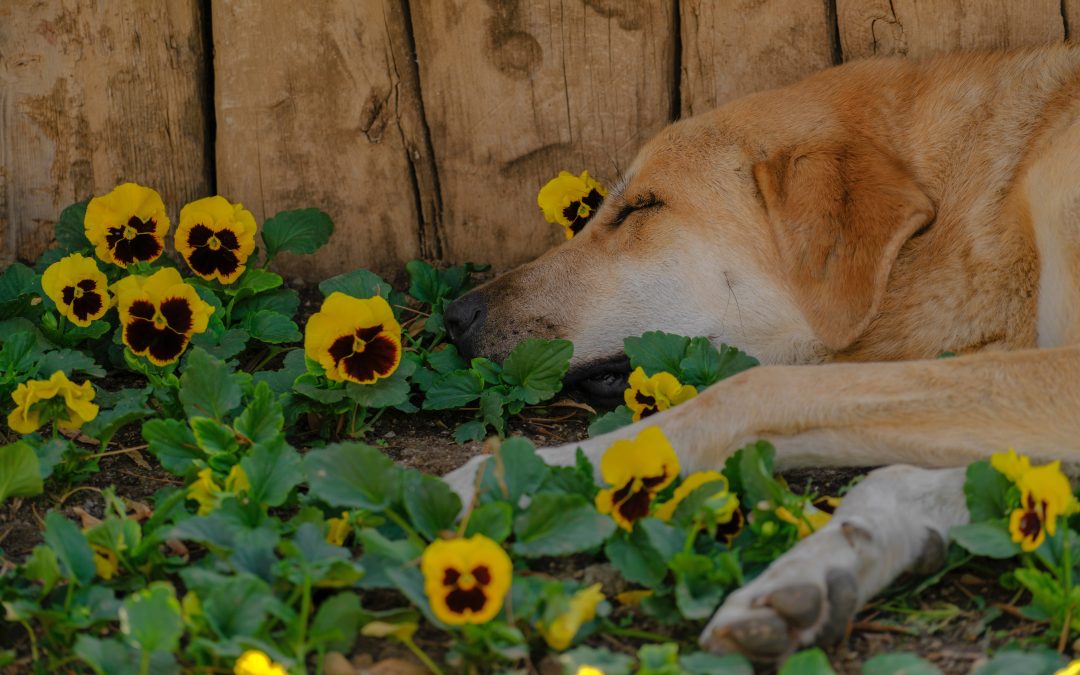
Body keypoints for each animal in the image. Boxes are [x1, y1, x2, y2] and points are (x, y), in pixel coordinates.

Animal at [438, 47, 1080, 656]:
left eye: (642, 206)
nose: (455, 318)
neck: (994, 198)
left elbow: (748, 391)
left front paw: (513, 474)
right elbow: (900, 478)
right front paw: (818, 572)